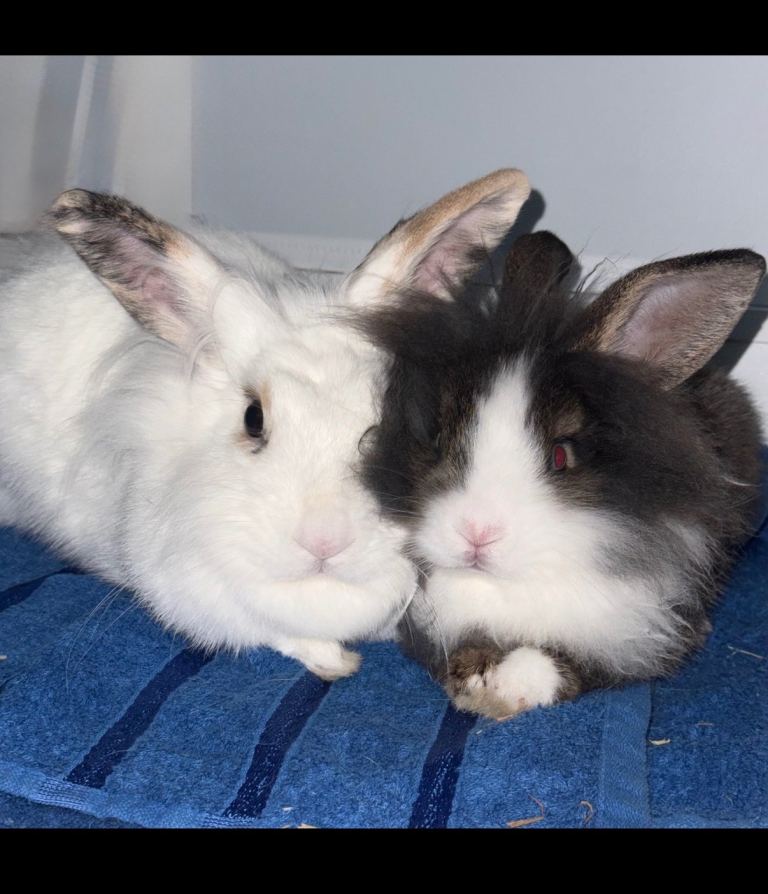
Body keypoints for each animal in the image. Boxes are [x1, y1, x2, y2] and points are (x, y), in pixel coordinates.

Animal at [360, 218, 765, 718]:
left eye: (559, 457)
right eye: (438, 440)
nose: (476, 534)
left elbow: (567, 664)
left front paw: (511, 688)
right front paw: (478, 682)